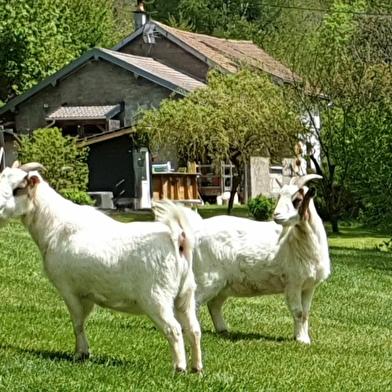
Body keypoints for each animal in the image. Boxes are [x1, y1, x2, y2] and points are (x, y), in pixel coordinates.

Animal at [0, 161, 204, 372]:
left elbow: (77, 322)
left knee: (174, 329)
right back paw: (197, 368)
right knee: (194, 329)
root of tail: (179, 239)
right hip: (186, 293)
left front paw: (80, 354)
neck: (55, 226)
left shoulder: (69, 289)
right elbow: (82, 321)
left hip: (157, 297)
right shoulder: (86, 293)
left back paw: (179, 367)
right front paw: (84, 353)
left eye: (18, 189)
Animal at [155, 175, 330, 344]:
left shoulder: (308, 285)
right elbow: (298, 312)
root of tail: (193, 231)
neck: (294, 241)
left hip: (224, 283)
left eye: (297, 200)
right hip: (206, 277)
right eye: (280, 197)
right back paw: (187, 331)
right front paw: (301, 340)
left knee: (214, 305)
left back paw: (223, 330)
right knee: (190, 304)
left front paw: (303, 337)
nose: (276, 215)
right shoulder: (293, 282)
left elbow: (306, 312)